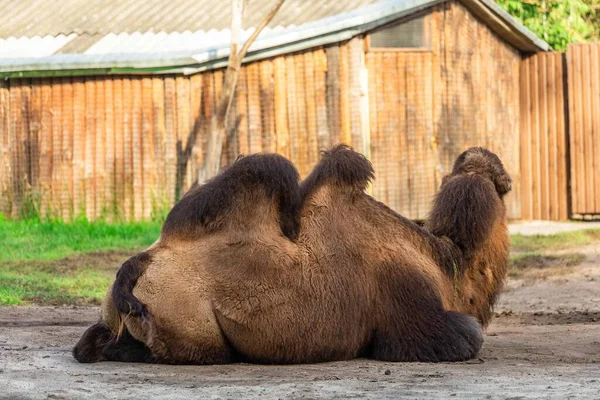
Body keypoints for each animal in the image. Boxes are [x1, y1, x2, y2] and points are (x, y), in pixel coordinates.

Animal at [71, 145, 510, 364]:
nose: (506, 177)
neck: (447, 263)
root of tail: (139, 266)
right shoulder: (411, 307)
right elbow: (464, 337)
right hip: (192, 324)